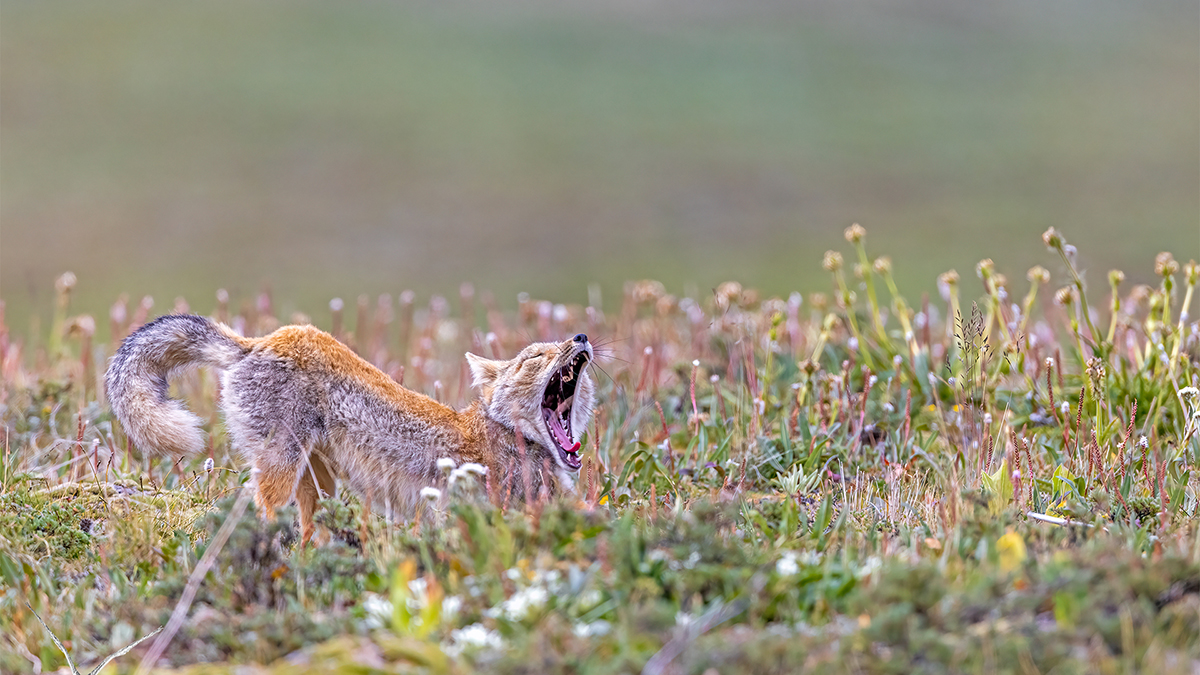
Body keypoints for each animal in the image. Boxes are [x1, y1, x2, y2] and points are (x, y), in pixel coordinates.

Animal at [103, 314, 595, 540]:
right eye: (535, 357)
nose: (582, 337)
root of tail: (260, 340)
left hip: (317, 482)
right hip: (283, 470)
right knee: (260, 510)